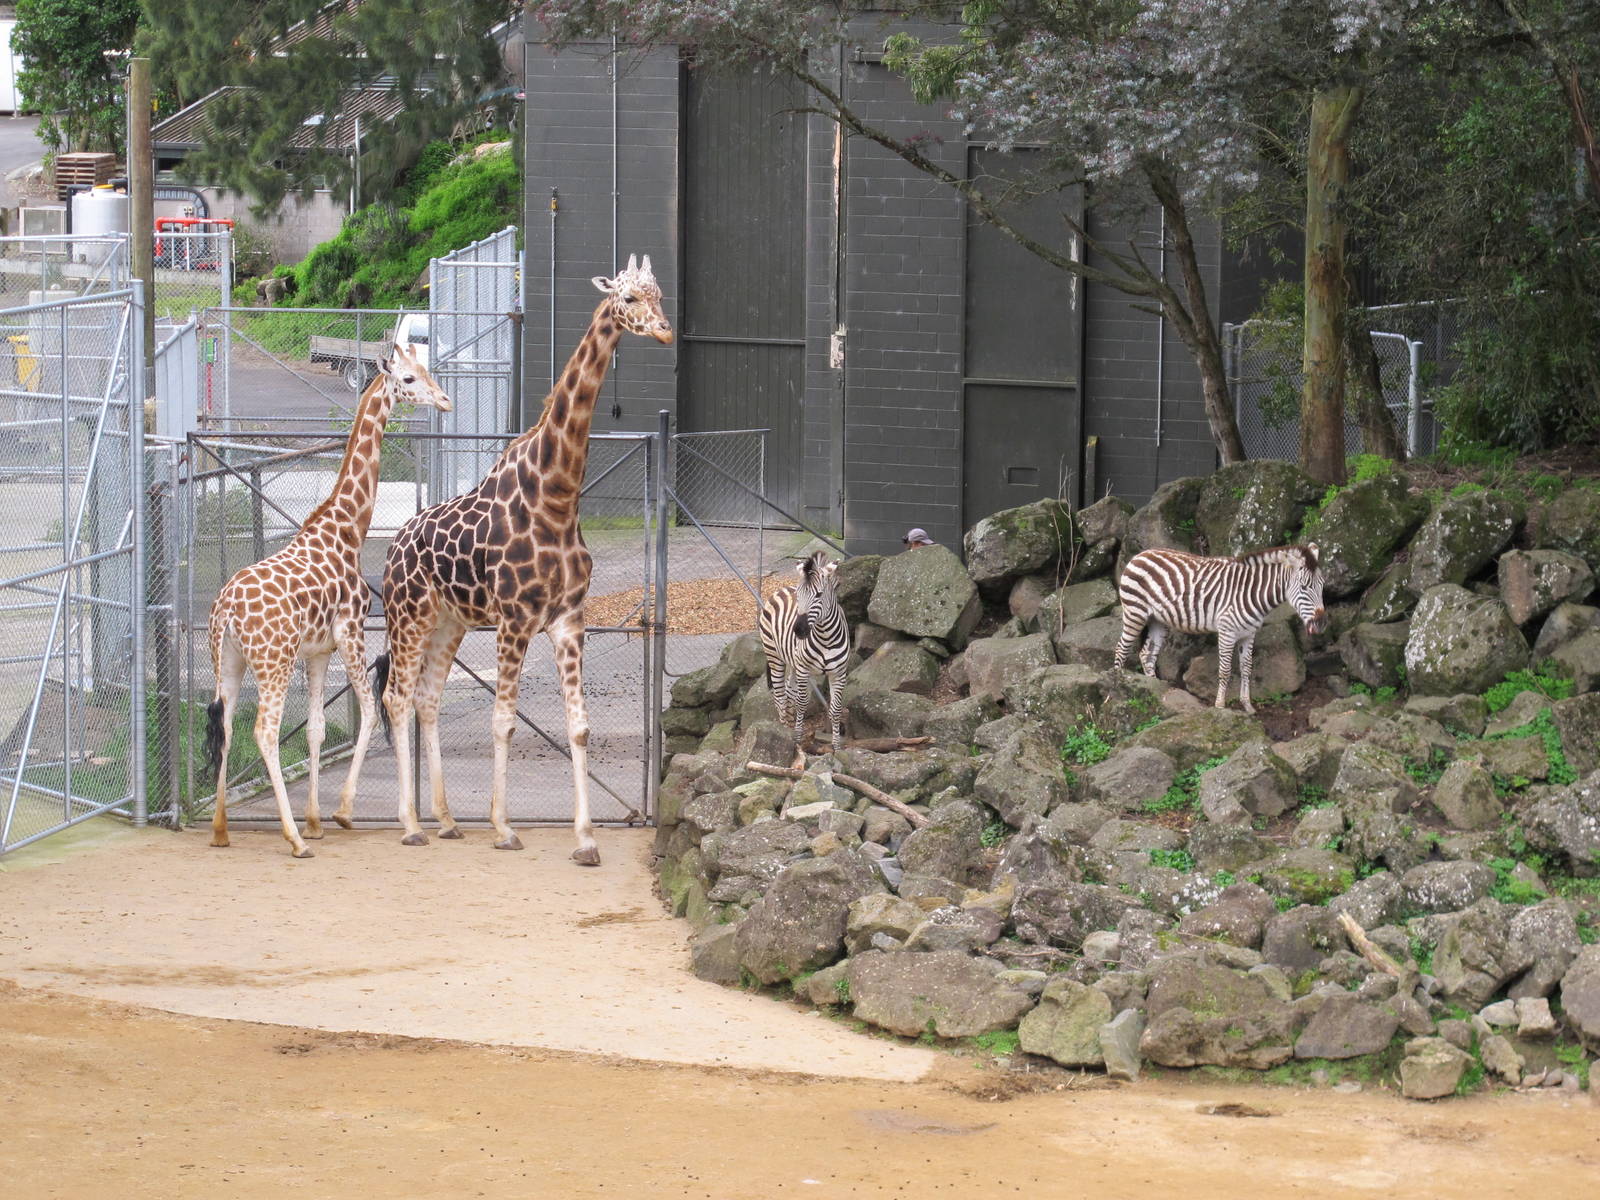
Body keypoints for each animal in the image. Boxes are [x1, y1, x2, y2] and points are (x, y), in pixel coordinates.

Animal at [202, 343, 452, 858]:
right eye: (408, 379)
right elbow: (369, 715)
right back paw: (294, 839)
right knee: (265, 731)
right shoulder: (350, 631)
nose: (444, 400)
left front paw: (317, 817)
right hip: (272, 663)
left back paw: (220, 830)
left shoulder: (317, 651)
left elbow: (316, 727)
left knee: (228, 724)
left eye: (426, 370)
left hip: (227, 661)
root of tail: (228, 610)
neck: (345, 529)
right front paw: (340, 812)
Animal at [377, 254, 672, 864]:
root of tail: (393, 545)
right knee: (396, 697)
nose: (664, 330)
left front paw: (585, 839)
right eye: (628, 298)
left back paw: (445, 821)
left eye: (660, 293)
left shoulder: (567, 620)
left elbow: (579, 727)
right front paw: (504, 827)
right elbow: (503, 721)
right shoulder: (514, 620)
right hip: (408, 617)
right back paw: (411, 824)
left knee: (428, 698)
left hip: (449, 622)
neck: (556, 494)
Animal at [758, 550, 850, 753]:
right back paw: (784, 731)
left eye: (819, 594)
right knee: (780, 695)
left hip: (792, 661)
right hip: (775, 656)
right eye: (798, 595)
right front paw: (798, 740)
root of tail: (781, 589)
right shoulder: (804, 669)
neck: (826, 637)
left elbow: (836, 709)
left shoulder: (839, 673)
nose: (798, 630)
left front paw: (837, 747)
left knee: (788, 691)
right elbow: (802, 703)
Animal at [1113, 543, 1327, 714]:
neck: (1251, 592)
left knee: (1147, 655)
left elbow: (1247, 668)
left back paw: (1154, 689)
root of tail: (1140, 554)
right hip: (1135, 612)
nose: (1321, 624)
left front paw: (1247, 706)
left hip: (1157, 620)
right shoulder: (1227, 632)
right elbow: (1225, 670)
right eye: (1304, 587)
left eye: (1322, 585)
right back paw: (1117, 687)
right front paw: (1220, 705)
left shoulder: (1248, 634)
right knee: (1121, 649)